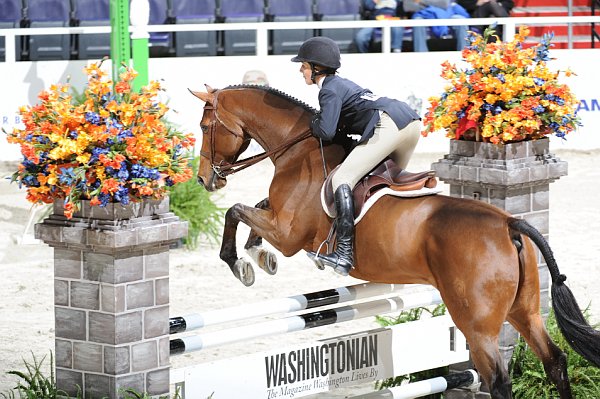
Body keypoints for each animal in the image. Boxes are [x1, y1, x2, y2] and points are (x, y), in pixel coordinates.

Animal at [191, 85, 600, 399]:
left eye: (205, 126)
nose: (204, 180)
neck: (298, 151)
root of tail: (510, 223)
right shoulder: (277, 220)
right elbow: (254, 207)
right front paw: (259, 255)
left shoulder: (288, 234)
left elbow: (236, 211)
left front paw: (243, 262)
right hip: (524, 311)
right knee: (554, 361)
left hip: (477, 326)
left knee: (497, 380)